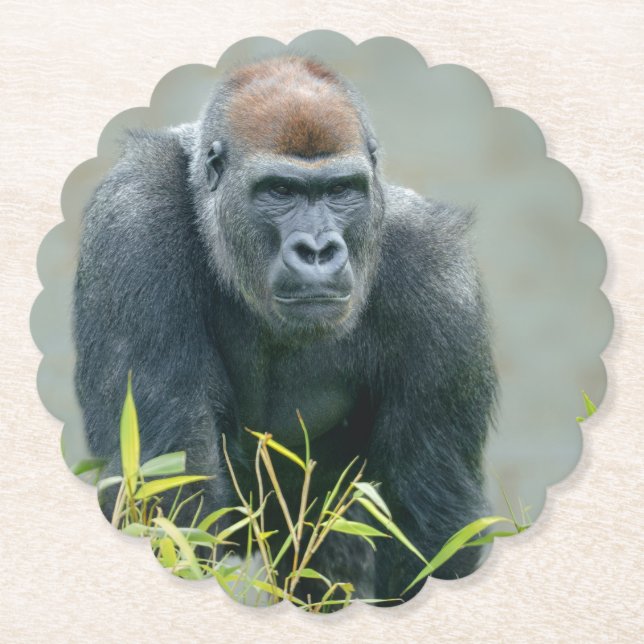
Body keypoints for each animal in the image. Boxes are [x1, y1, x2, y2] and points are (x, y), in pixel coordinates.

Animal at [74, 57, 497, 603]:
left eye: (340, 191)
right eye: (280, 190)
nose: (317, 250)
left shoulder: (441, 277)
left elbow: (429, 529)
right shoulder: (132, 222)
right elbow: (170, 491)